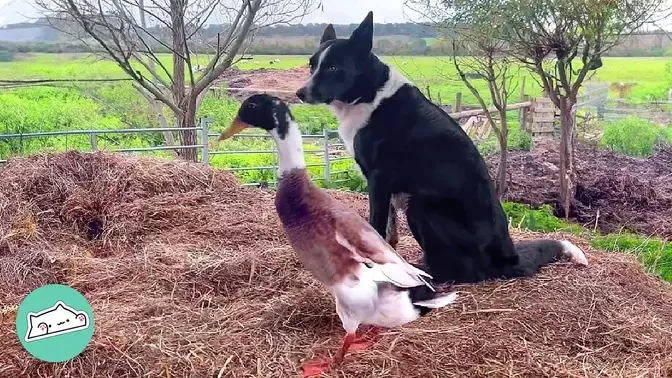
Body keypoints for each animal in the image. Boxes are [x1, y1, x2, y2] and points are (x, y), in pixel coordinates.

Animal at [296, 11, 592, 284]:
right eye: (312, 65)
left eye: (334, 68)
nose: (300, 93)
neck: (369, 93)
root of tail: (508, 257)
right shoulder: (383, 186)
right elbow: (389, 234)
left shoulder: (379, 180)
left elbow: (377, 227)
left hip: (420, 205)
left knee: (465, 272)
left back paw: (426, 272)